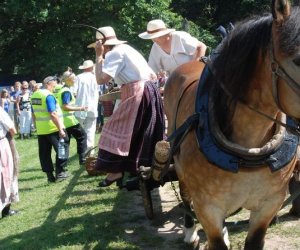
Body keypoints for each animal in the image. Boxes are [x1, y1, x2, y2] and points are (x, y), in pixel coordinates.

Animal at [162, 0, 300, 249]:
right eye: (298, 59)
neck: (248, 154)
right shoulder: (207, 208)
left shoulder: (269, 205)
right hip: (177, 161)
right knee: (185, 194)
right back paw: (189, 232)